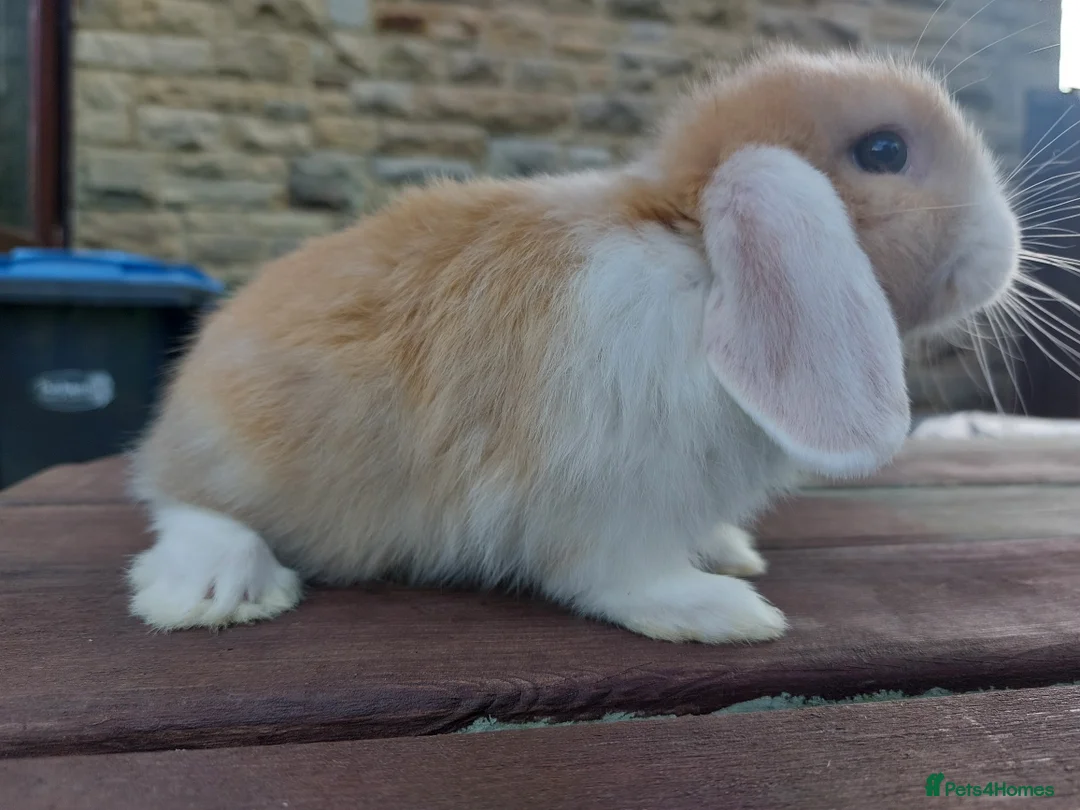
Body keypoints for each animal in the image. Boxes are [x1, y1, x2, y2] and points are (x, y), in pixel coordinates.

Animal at [126, 45, 1020, 643]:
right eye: (884, 151)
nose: (1003, 247)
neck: (698, 256)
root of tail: (174, 413)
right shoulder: (608, 501)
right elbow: (617, 578)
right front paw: (725, 612)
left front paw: (728, 556)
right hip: (241, 462)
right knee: (184, 508)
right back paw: (219, 589)